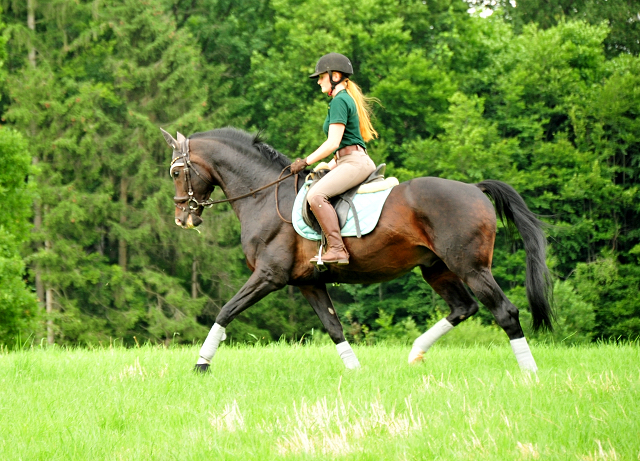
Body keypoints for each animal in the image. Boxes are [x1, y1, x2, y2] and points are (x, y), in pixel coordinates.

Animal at [161, 127, 556, 372]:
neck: (264, 194)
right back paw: (415, 352)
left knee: (504, 312)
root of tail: (474, 189)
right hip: (436, 268)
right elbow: (334, 328)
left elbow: (225, 311)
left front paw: (201, 363)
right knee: (463, 307)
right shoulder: (308, 282)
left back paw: (530, 372)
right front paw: (355, 370)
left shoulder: (268, 276)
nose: (183, 218)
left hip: (470, 267)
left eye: (177, 173)